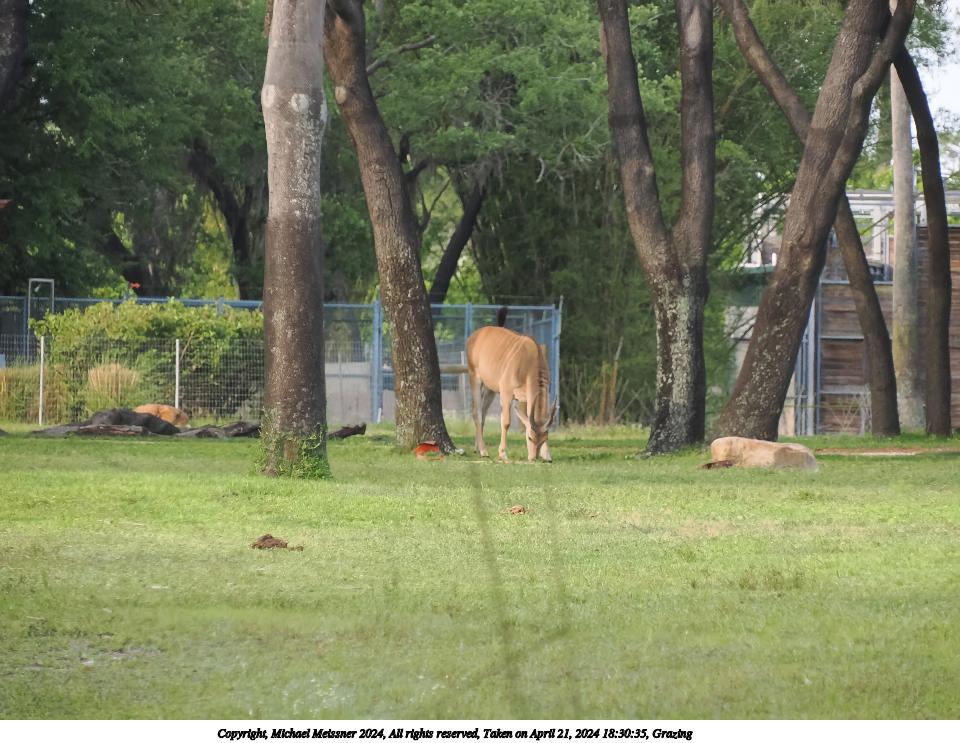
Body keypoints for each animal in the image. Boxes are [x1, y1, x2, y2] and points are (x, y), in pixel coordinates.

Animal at [466, 325, 557, 462]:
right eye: (530, 437)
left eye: (545, 438)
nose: (533, 458)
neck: (529, 362)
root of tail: (475, 335)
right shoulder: (506, 393)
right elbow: (506, 422)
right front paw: (503, 453)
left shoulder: (527, 398)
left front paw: (547, 454)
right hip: (474, 377)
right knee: (477, 412)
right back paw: (483, 450)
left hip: (490, 389)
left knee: (483, 413)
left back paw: (477, 447)